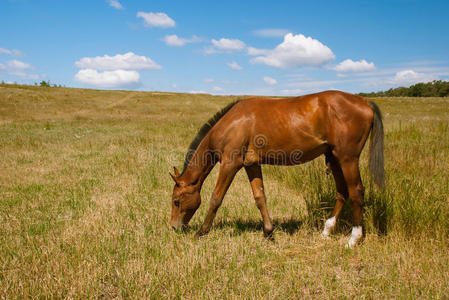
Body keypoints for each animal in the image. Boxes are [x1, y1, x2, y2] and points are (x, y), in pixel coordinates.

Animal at [170, 90, 384, 247]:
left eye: (176, 201)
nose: (174, 228)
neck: (232, 123)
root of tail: (364, 101)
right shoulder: (251, 164)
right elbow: (260, 197)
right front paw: (268, 232)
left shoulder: (230, 164)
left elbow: (216, 198)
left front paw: (201, 232)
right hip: (334, 158)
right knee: (342, 192)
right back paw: (326, 231)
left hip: (348, 159)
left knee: (356, 192)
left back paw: (354, 239)